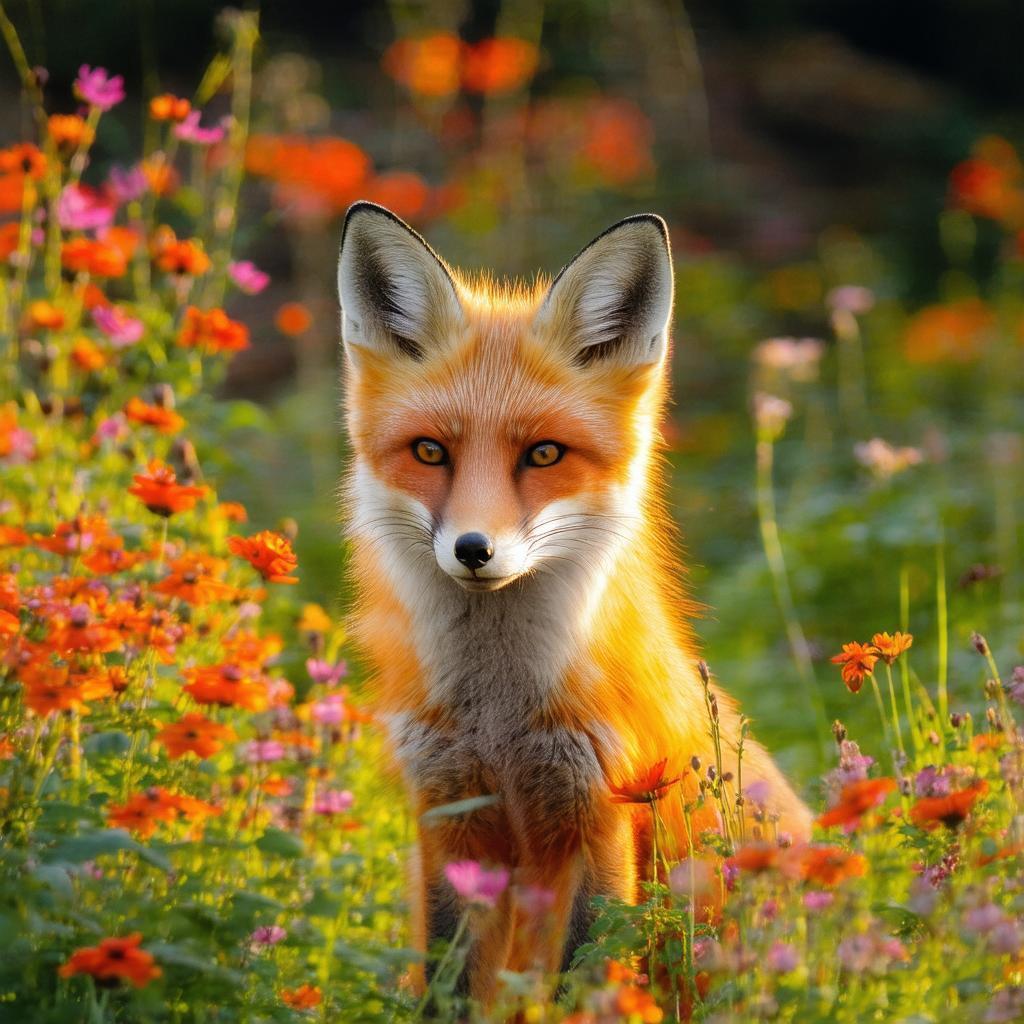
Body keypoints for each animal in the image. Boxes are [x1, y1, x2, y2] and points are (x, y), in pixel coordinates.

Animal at [336, 201, 812, 1004]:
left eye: (544, 454)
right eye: (430, 452)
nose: (473, 549)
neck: (498, 716)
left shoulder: (602, 815)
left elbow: (583, 979)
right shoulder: (449, 821)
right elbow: (447, 987)